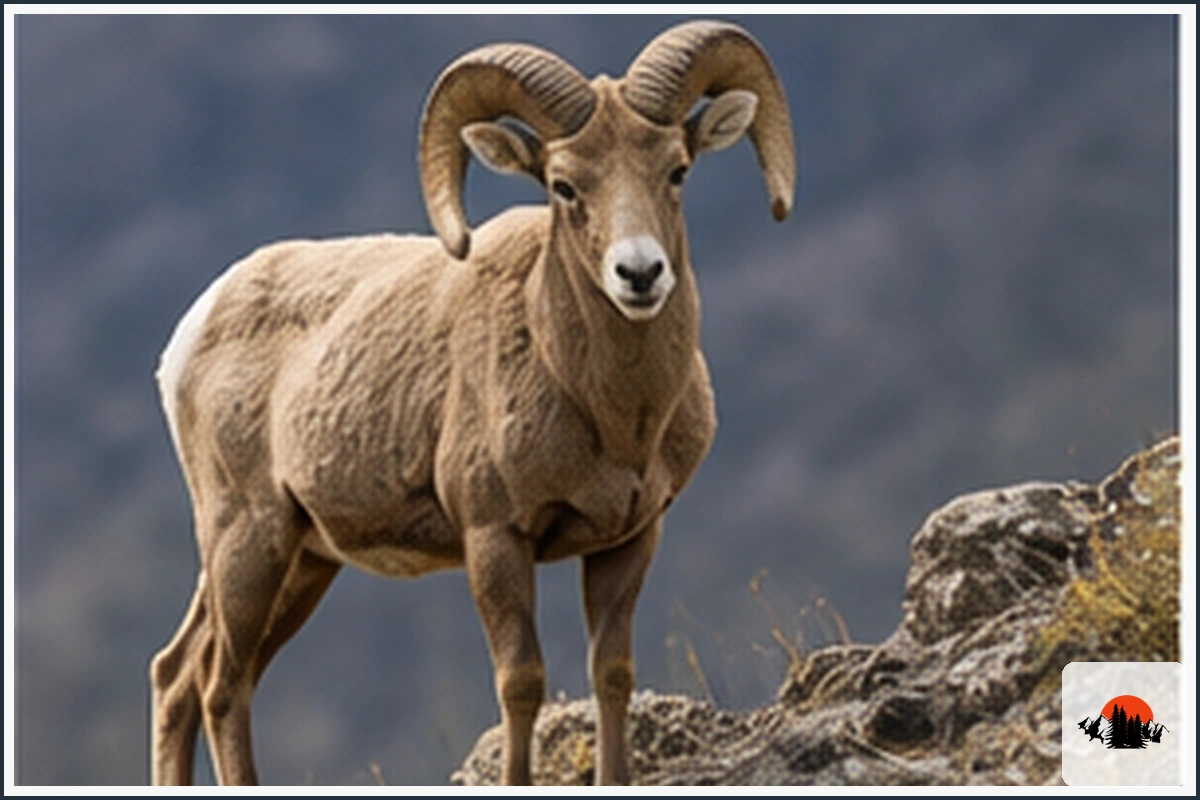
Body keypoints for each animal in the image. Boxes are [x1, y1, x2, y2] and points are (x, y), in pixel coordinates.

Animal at [149, 19, 795, 786]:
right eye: (563, 185)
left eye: (677, 170)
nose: (639, 273)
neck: (611, 416)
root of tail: (191, 333)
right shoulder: (495, 538)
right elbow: (520, 682)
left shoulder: (630, 539)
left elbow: (611, 673)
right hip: (248, 538)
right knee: (221, 683)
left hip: (303, 559)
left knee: (181, 674)